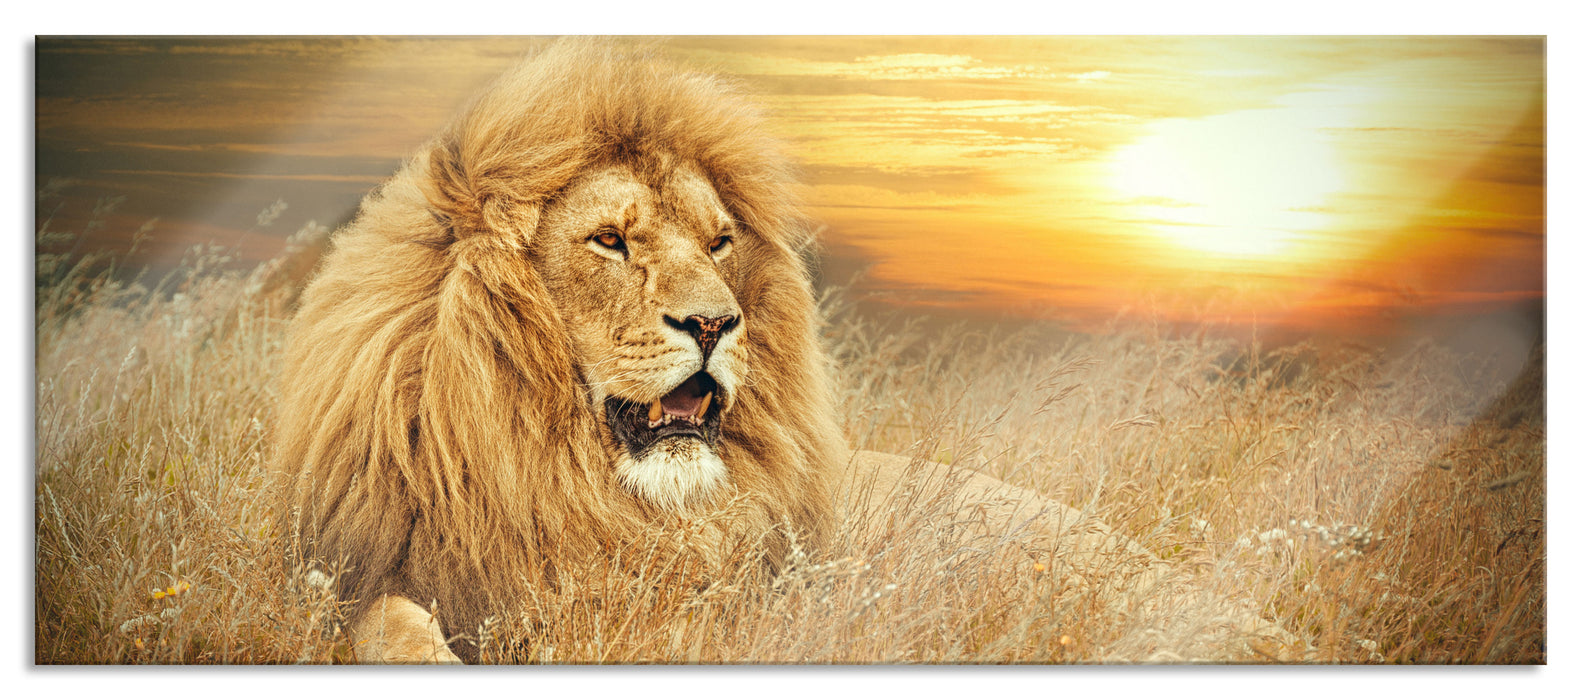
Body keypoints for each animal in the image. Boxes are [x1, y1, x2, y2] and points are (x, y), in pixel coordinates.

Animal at [275, 39, 1302, 664]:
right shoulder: (365, 573)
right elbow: (387, 620)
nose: (714, 325)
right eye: (609, 241)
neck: (558, 477)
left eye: (720, 242)